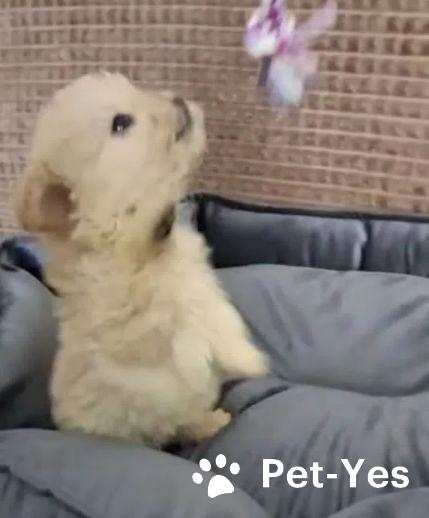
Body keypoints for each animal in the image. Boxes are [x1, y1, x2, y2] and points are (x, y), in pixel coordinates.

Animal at [15, 72, 268, 448]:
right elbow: (191, 326)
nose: (177, 99)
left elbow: (219, 314)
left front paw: (244, 356)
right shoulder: (140, 315)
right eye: (121, 123)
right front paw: (252, 361)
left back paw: (210, 421)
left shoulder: (195, 276)